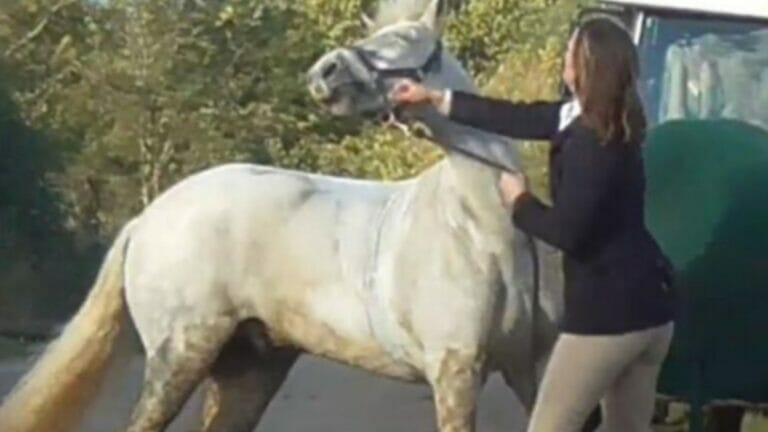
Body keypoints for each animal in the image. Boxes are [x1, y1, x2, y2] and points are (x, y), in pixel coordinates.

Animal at [0, 0, 567, 431]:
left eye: (407, 36)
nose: (324, 73)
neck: (481, 227)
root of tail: (147, 219)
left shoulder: (530, 367)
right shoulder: (454, 371)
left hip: (249, 368)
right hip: (178, 358)